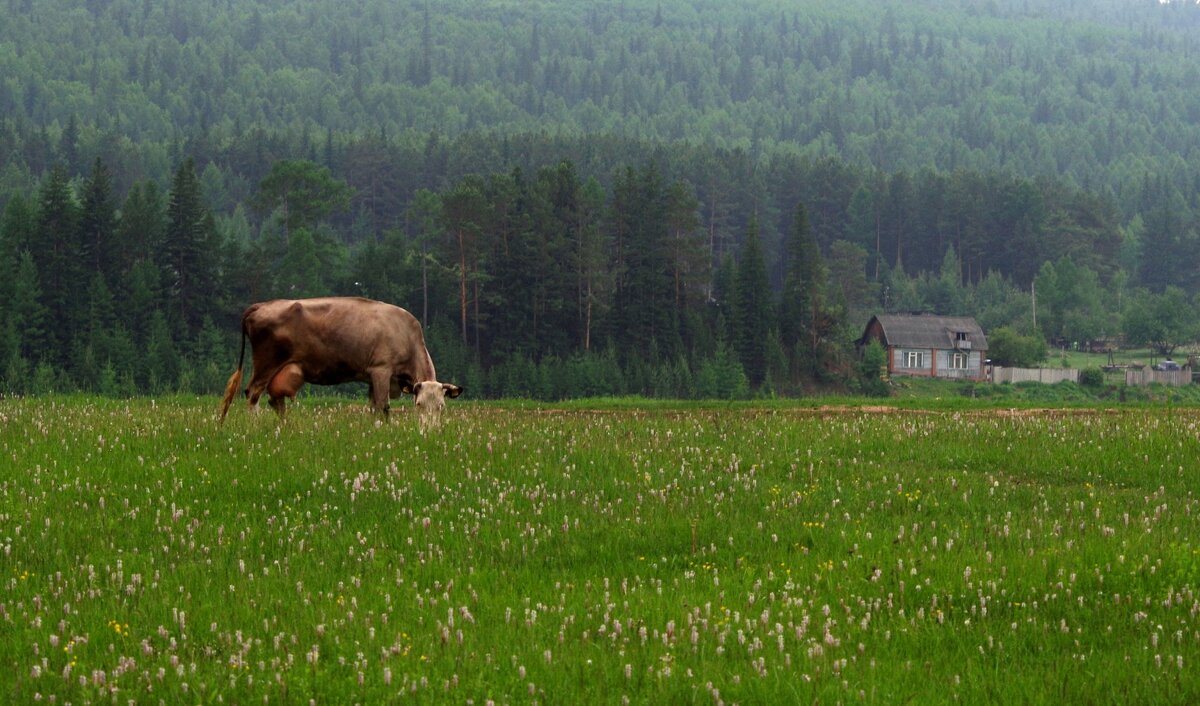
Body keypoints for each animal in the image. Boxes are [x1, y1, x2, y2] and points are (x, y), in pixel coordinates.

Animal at [218, 296, 460, 427]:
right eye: (419, 405)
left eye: (441, 407)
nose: (429, 430)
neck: (408, 335)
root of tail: (261, 305)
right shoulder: (381, 370)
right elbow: (383, 407)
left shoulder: (371, 377)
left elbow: (373, 407)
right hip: (266, 362)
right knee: (252, 394)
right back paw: (256, 427)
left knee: (275, 401)